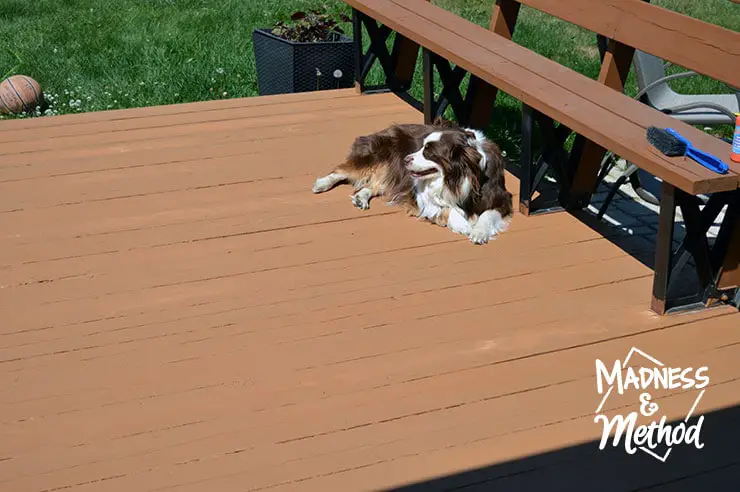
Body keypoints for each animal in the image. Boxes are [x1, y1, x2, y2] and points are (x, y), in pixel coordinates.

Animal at [310, 117, 512, 244]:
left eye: (429, 153)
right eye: (421, 146)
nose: (406, 158)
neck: (460, 179)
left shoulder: (501, 197)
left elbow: (488, 214)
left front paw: (479, 232)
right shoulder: (421, 196)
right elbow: (446, 208)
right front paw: (464, 226)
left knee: (377, 183)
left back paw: (361, 197)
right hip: (380, 155)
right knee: (344, 170)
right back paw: (323, 183)